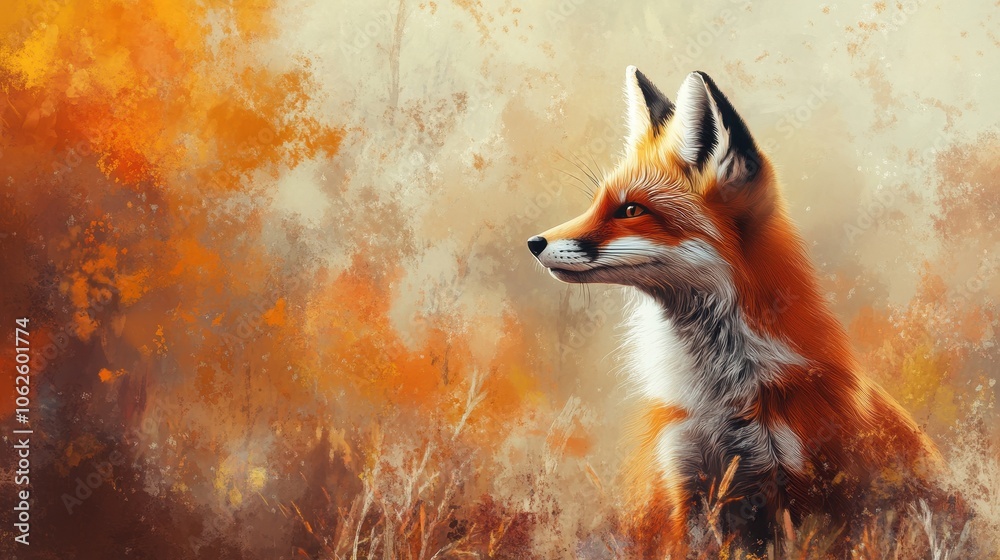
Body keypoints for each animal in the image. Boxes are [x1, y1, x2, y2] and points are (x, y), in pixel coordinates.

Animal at [527, 67, 952, 556]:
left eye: (631, 209)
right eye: (597, 203)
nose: (533, 243)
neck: (721, 392)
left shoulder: (806, 490)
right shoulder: (686, 483)